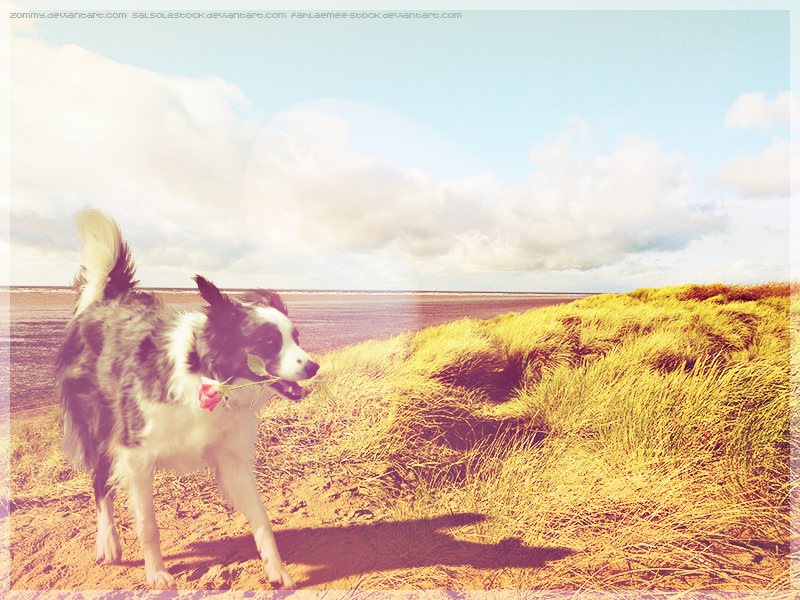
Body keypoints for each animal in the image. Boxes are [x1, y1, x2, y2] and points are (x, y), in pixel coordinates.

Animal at [57, 209, 318, 588]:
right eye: (269, 343)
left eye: (295, 338)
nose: (314, 366)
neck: (206, 379)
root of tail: (106, 300)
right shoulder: (136, 454)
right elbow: (148, 525)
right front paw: (157, 574)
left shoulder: (232, 458)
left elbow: (261, 517)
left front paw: (277, 569)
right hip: (100, 425)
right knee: (100, 481)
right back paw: (108, 542)